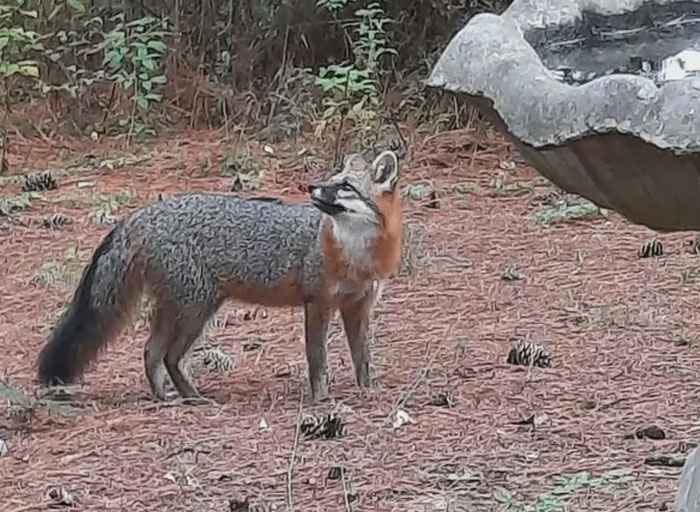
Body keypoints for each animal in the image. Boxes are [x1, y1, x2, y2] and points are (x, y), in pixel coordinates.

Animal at [36, 150, 402, 403]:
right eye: (330, 180)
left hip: (179, 309)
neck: (355, 254)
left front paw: (368, 391)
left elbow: (363, 358)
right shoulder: (317, 304)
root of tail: (145, 212)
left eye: (345, 187)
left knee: (150, 352)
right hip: (196, 310)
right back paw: (192, 398)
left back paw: (165, 398)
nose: (312, 187)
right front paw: (322, 399)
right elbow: (318, 359)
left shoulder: (359, 307)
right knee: (168, 356)